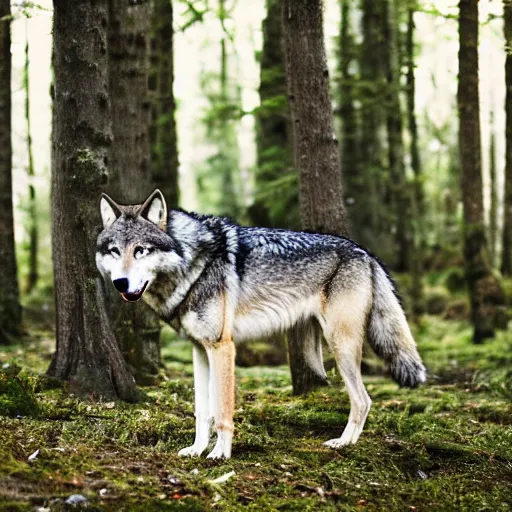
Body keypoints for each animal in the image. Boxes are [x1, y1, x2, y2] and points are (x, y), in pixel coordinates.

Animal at [96, 189, 428, 460]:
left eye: (141, 250)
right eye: (114, 250)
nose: (120, 283)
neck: (192, 262)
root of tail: (366, 253)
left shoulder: (223, 347)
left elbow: (222, 411)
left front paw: (220, 455)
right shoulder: (200, 350)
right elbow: (202, 411)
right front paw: (196, 450)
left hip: (340, 345)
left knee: (363, 400)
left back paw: (344, 444)